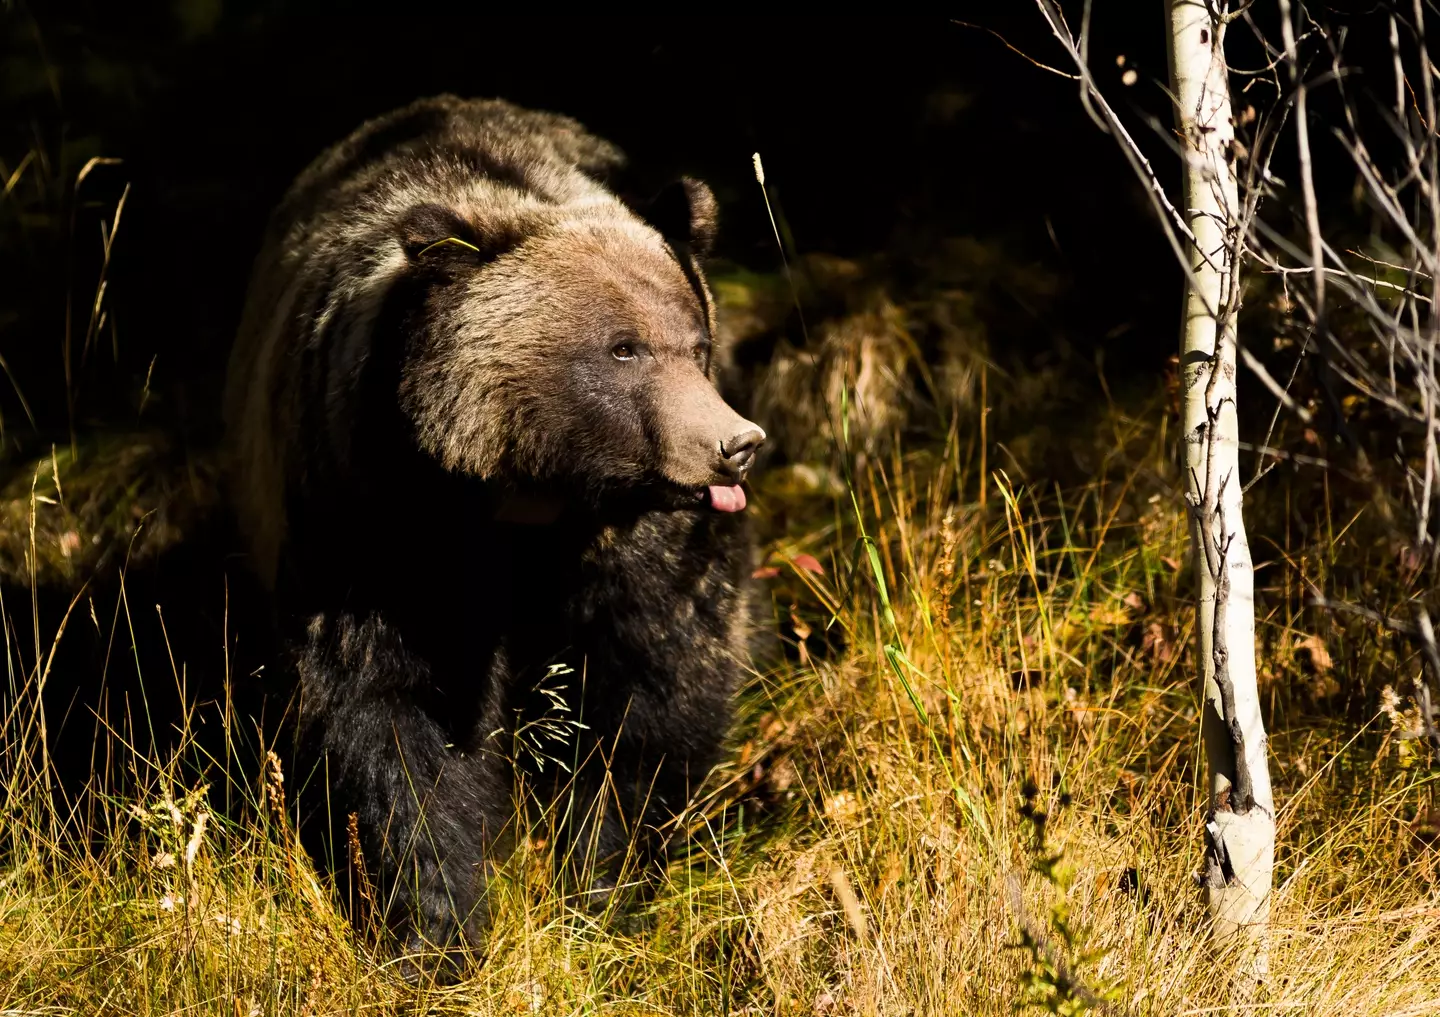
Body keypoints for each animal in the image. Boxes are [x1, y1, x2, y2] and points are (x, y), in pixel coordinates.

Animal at [224, 95, 765, 963]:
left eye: (697, 342)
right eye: (623, 347)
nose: (734, 444)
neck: (531, 500)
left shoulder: (635, 552)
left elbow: (647, 698)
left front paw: (603, 887)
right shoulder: (375, 519)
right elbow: (399, 722)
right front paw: (435, 925)